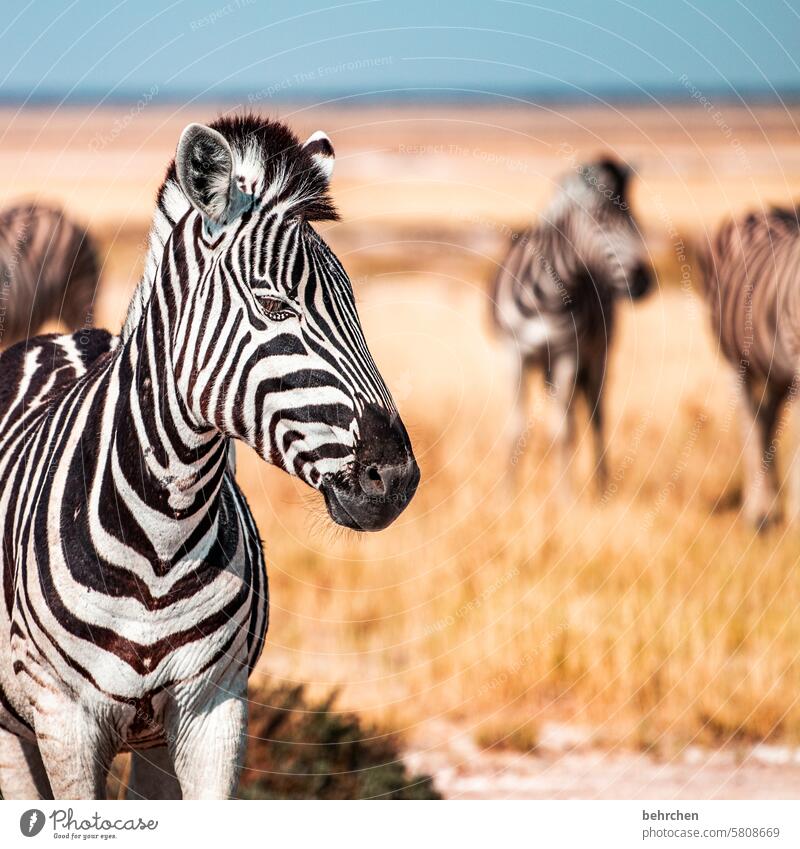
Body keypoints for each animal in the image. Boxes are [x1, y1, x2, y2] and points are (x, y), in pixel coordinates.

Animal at [490, 157, 652, 496]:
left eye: (635, 221)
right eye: (600, 221)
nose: (644, 282)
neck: (547, 295)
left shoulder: (568, 353)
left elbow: (563, 430)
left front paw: (564, 496)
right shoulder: (514, 354)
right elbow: (515, 427)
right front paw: (507, 495)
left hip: (597, 356)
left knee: (595, 416)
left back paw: (601, 488)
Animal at [704, 206, 800, 528]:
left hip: (777, 373)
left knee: (766, 420)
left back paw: (771, 505)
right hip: (737, 360)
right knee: (750, 423)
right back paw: (757, 511)